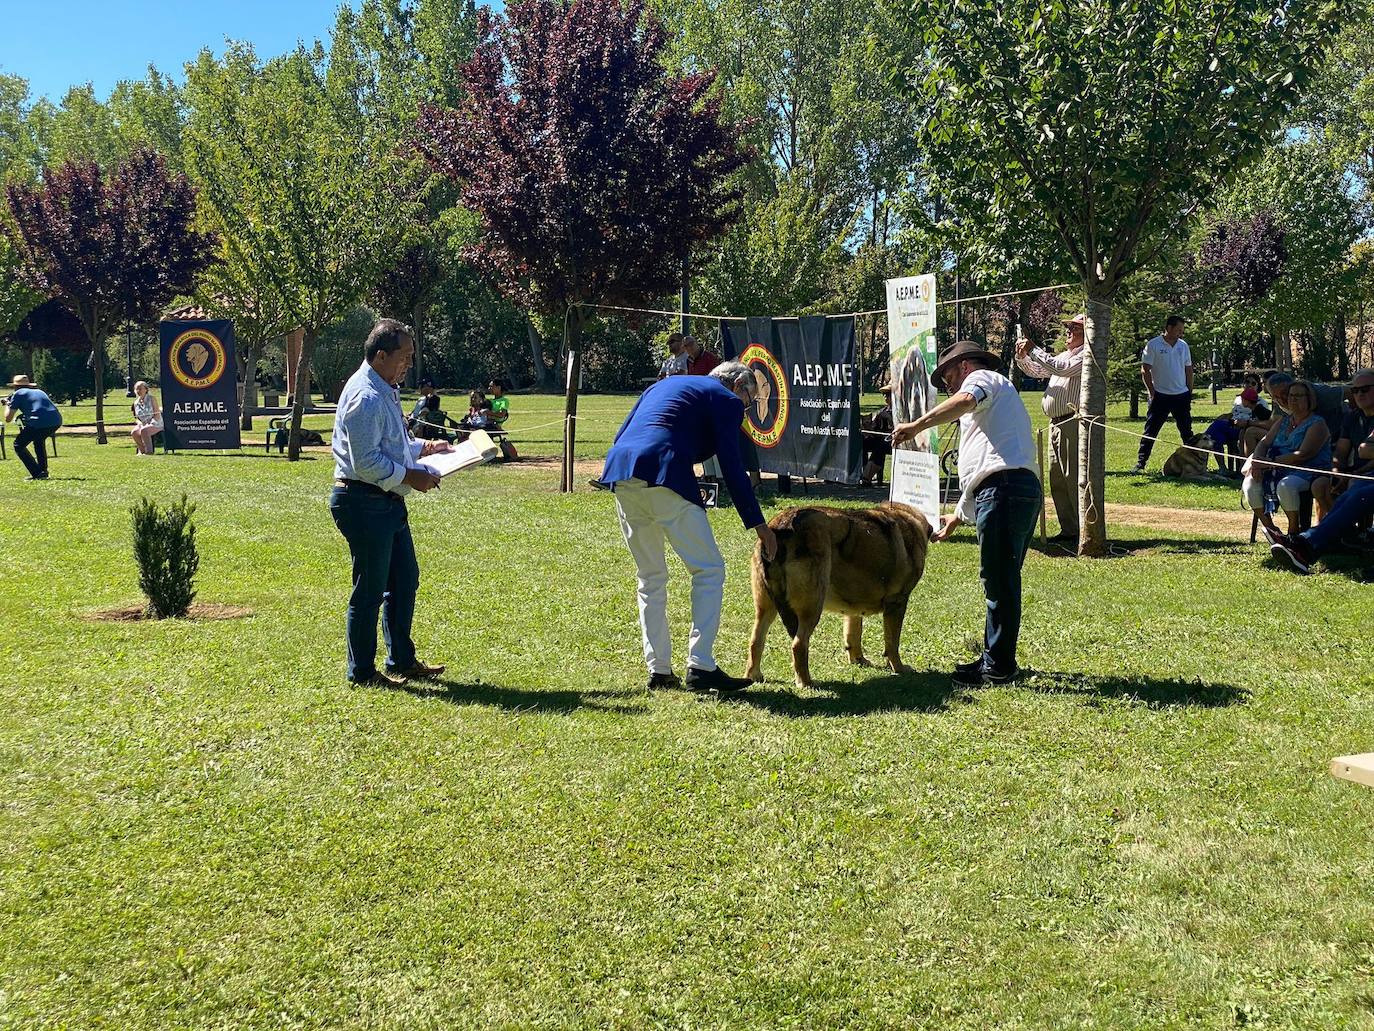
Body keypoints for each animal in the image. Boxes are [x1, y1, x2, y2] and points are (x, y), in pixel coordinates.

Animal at [747, 505, 928, 690]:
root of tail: (782, 526)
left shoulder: (854, 608)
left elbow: (853, 635)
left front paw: (858, 660)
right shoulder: (897, 603)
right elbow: (892, 644)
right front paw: (899, 668)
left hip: (765, 608)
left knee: (755, 640)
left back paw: (754, 676)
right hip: (812, 607)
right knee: (798, 644)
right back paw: (806, 682)